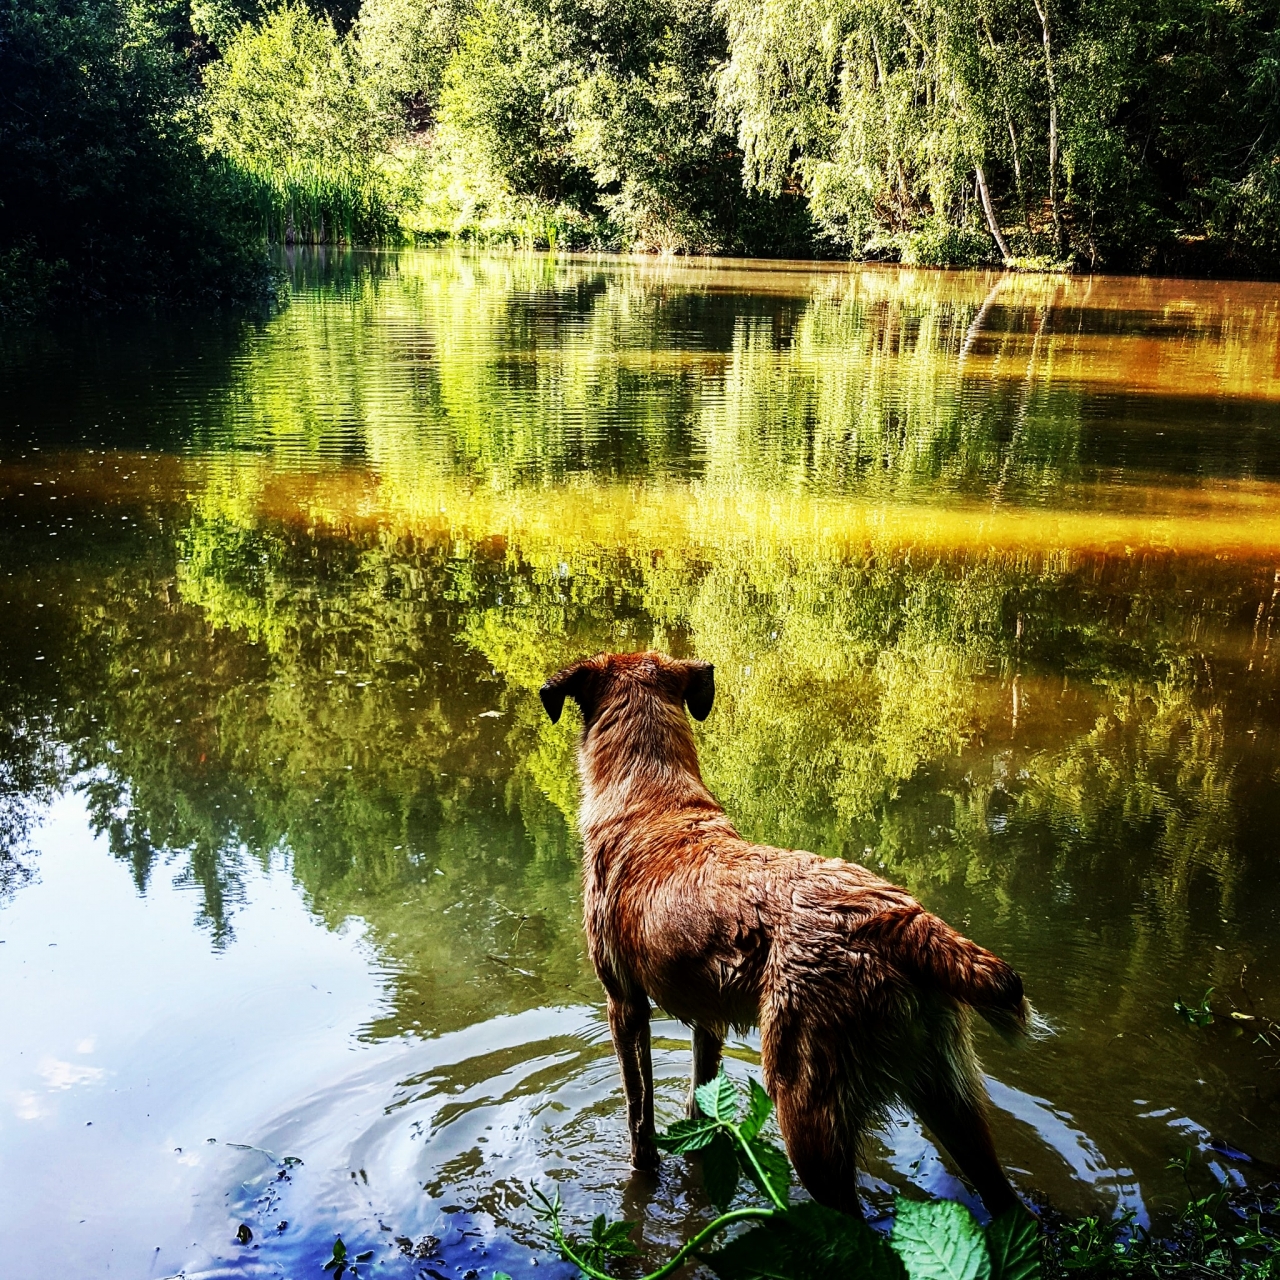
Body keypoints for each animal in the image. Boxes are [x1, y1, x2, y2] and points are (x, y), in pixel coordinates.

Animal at [540, 650, 1038, 1217]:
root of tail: (904, 922)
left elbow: (638, 1111)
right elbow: (698, 1097)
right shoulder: (706, 1016)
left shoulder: (624, 1003)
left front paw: (643, 1170)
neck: (653, 800)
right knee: (1004, 1201)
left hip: (806, 1109)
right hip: (949, 1099)